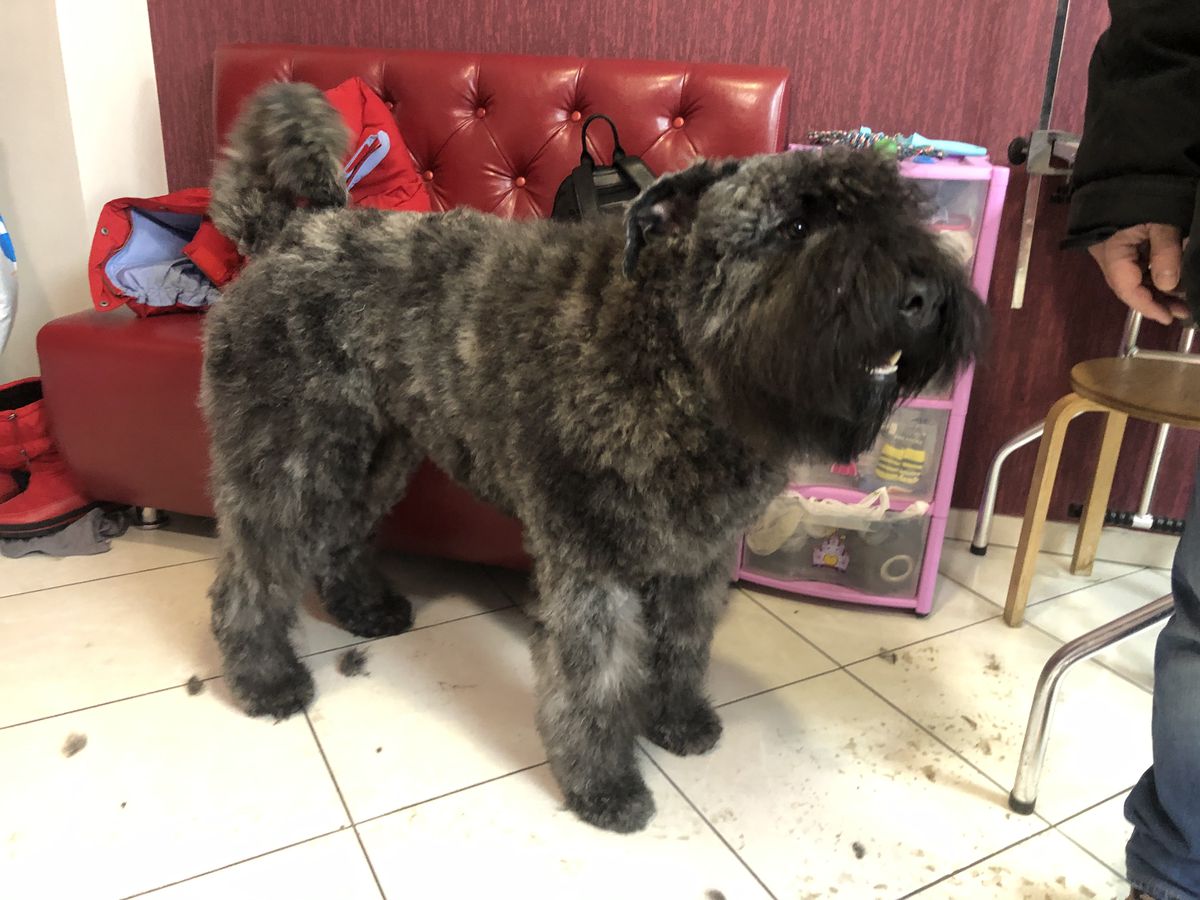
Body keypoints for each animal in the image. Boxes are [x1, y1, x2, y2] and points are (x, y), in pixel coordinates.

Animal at [199, 81, 984, 835]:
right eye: (796, 225)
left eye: (900, 211)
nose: (921, 295)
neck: (674, 356)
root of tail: (281, 232)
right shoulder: (592, 565)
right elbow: (596, 681)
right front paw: (603, 785)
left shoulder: (695, 557)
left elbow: (681, 647)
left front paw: (676, 720)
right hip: (288, 457)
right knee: (250, 572)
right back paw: (265, 679)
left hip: (372, 454)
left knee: (338, 533)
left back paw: (365, 608)